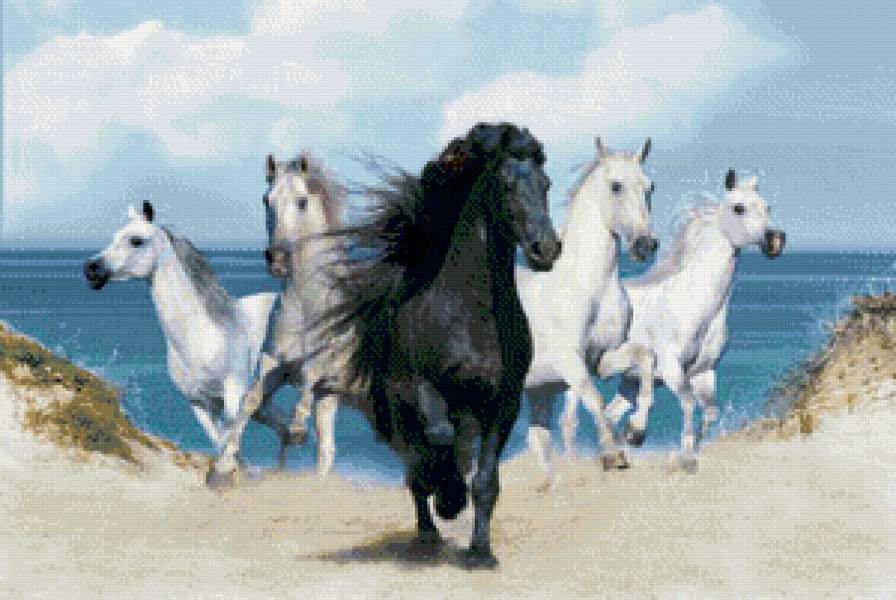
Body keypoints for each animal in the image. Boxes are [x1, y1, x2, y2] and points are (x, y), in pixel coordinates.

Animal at [83, 202, 293, 484]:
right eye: (115, 235)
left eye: (136, 240)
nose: (92, 268)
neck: (202, 336)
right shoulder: (200, 403)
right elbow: (220, 439)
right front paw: (231, 473)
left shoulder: (233, 393)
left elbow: (229, 435)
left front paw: (228, 474)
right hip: (264, 399)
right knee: (286, 428)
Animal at [322, 123, 562, 568]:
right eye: (506, 184)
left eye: (546, 184)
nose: (547, 248)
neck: (472, 314)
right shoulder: (426, 387)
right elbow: (437, 439)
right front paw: (450, 500)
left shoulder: (503, 403)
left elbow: (486, 481)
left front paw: (481, 553)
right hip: (401, 407)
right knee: (417, 465)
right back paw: (430, 527)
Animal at [522, 137, 659, 485]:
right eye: (615, 186)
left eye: (650, 186)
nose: (645, 246)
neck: (587, 286)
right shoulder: (570, 361)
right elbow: (592, 399)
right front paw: (612, 455)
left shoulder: (602, 358)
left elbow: (646, 359)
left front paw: (636, 431)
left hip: (538, 391)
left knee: (538, 438)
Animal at [596, 169, 786, 472]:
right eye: (739, 208)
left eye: (768, 207)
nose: (775, 240)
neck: (694, 304)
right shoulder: (672, 369)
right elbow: (687, 403)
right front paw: (679, 453)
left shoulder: (704, 372)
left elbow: (709, 412)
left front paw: (691, 453)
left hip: (628, 380)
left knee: (610, 414)